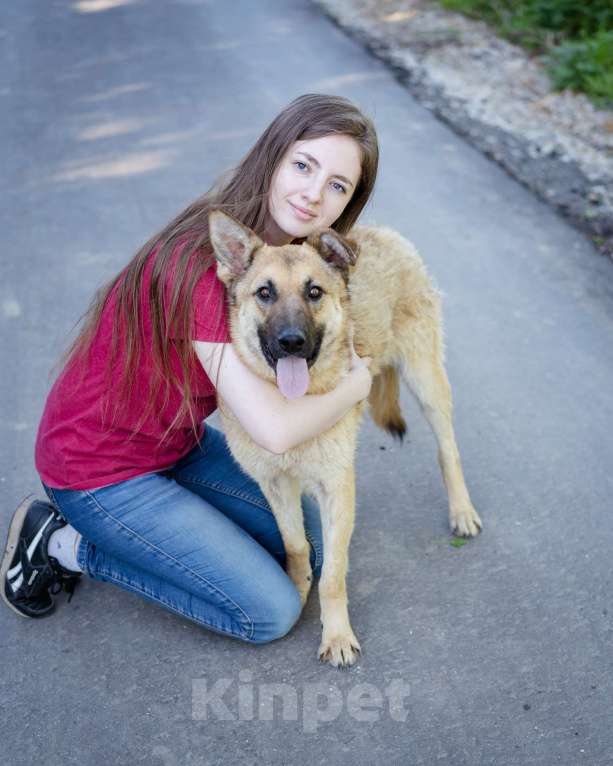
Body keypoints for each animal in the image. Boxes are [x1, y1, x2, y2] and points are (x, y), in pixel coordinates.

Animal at [208, 208, 480, 664]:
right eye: (264, 293)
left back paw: (462, 510)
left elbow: (333, 574)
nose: (292, 342)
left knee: (448, 449)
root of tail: (384, 233)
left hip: (426, 380)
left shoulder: (337, 489)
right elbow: (297, 547)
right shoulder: (275, 485)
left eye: (314, 291)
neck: (290, 408)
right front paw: (298, 593)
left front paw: (335, 634)